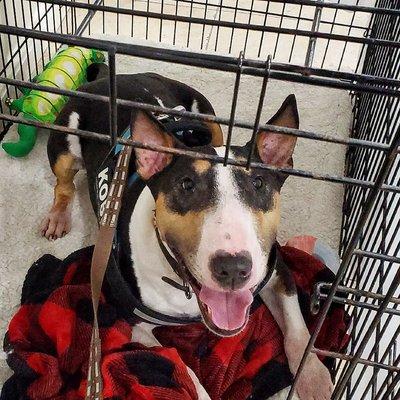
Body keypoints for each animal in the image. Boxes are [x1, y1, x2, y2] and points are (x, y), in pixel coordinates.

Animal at [41, 70, 332, 398]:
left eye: (259, 183)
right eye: (186, 185)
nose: (233, 268)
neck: (183, 285)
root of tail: (113, 76)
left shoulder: (276, 269)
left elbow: (297, 328)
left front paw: (313, 378)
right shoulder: (133, 321)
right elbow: (181, 363)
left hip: (209, 118)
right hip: (64, 144)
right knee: (63, 184)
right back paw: (57, 217)